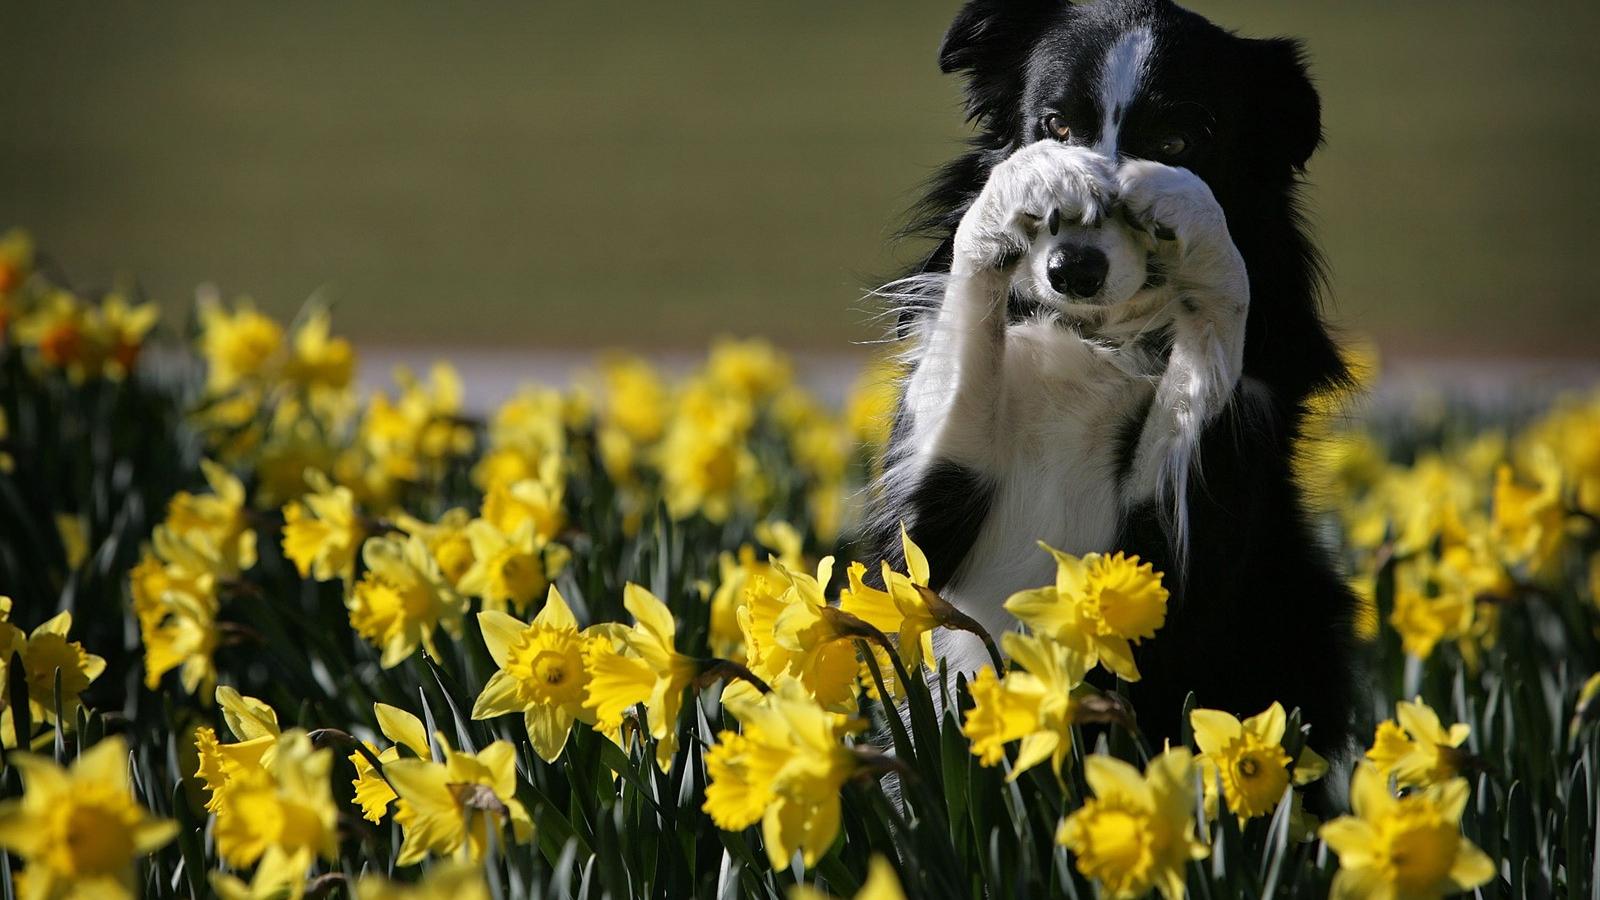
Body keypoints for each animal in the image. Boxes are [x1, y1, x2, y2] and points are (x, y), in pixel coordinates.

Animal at [870, 0, 1356, 755]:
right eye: (1055, 125)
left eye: (1178, 140)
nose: (1073, 270)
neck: (1098, 333)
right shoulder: (933, 518)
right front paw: (1026, 184)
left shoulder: (1182, 553)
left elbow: (1215, 333)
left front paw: (1186, 208)